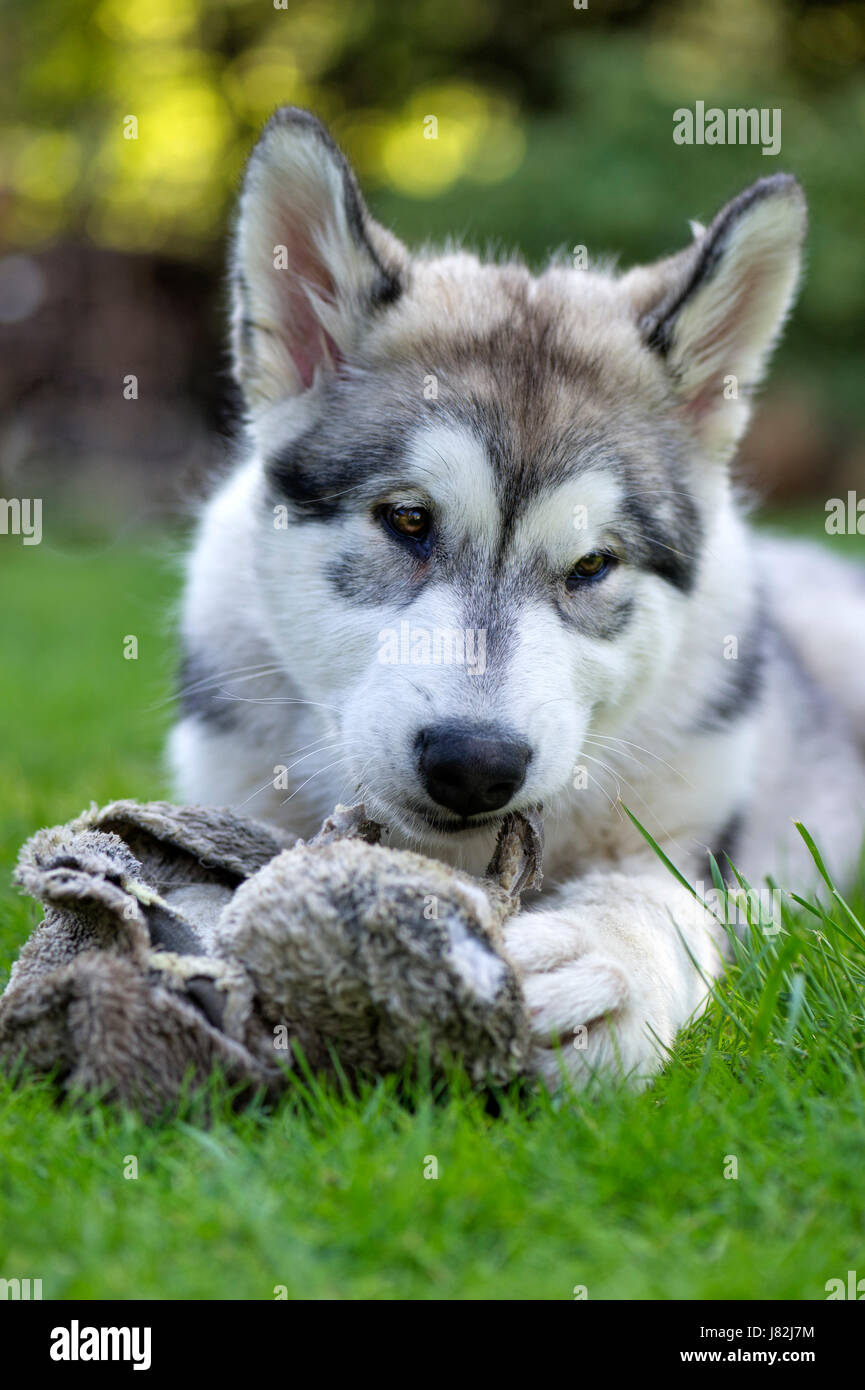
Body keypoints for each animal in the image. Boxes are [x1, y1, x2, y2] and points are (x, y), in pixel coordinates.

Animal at [171, 105, 865, 1084]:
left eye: (592, 566)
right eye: (407, 520)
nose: (473, 764)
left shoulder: (717, 853)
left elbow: (666, 899)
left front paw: (607, 959)